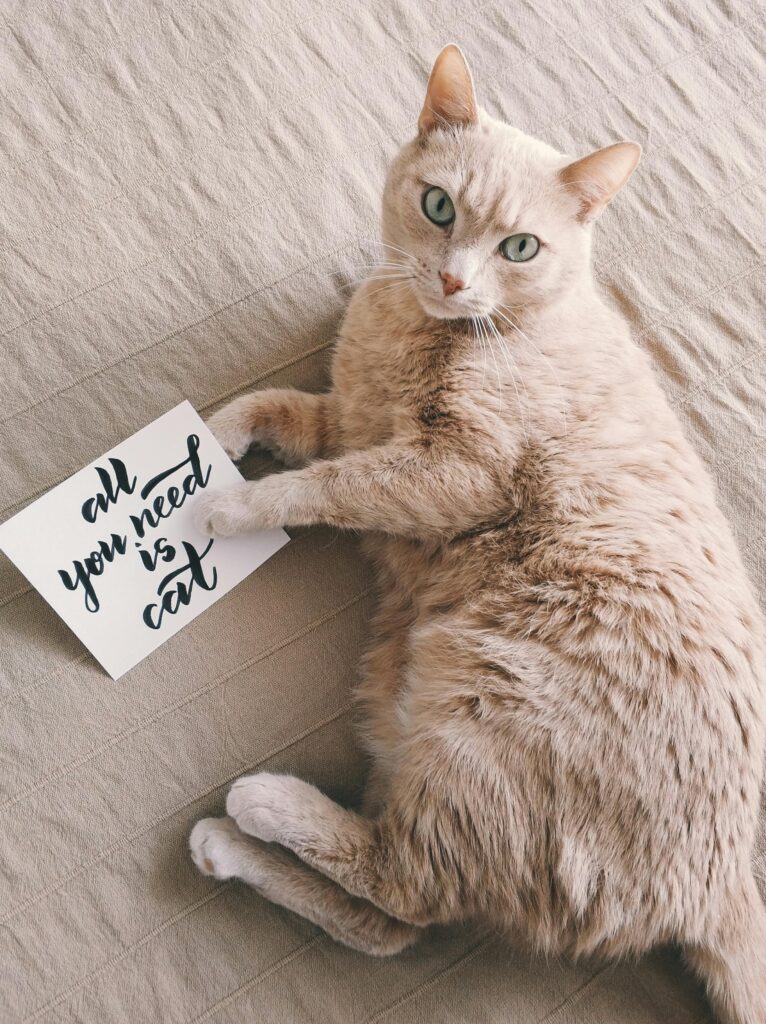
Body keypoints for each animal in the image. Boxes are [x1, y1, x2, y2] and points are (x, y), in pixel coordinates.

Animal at [188, 44, 761, 1024]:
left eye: (519, 247)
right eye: (439, 207)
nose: (456, 279)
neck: (418, 327)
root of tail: (721, 884)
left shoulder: (445, 472)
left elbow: (322, 487)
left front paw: (230, 507)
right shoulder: (347, 418)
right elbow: (272, 408)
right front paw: (207, 445)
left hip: (478, 744)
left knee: (402, 887)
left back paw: (266, 805)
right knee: (386, 926)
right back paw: (231, 849)